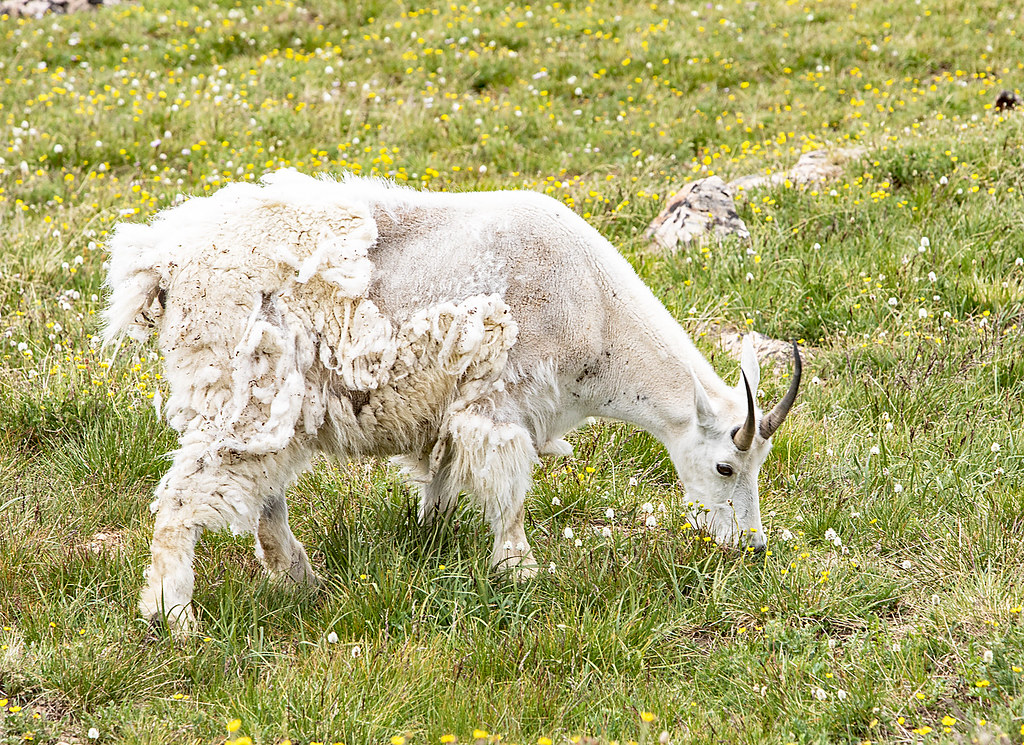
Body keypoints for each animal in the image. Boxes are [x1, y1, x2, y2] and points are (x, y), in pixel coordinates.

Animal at [103, 169, 801, 633]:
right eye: (726, 466)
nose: (753, 548)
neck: (597, 313)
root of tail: (160, 261)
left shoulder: (447, 412)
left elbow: (439, 480)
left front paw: (429, 539)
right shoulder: (501, 403)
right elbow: (509, 492)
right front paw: (522, 571)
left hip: (273, 408)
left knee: (259, 491)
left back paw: (302, 581)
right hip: (239, 388)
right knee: (186, 494)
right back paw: (175, 618)